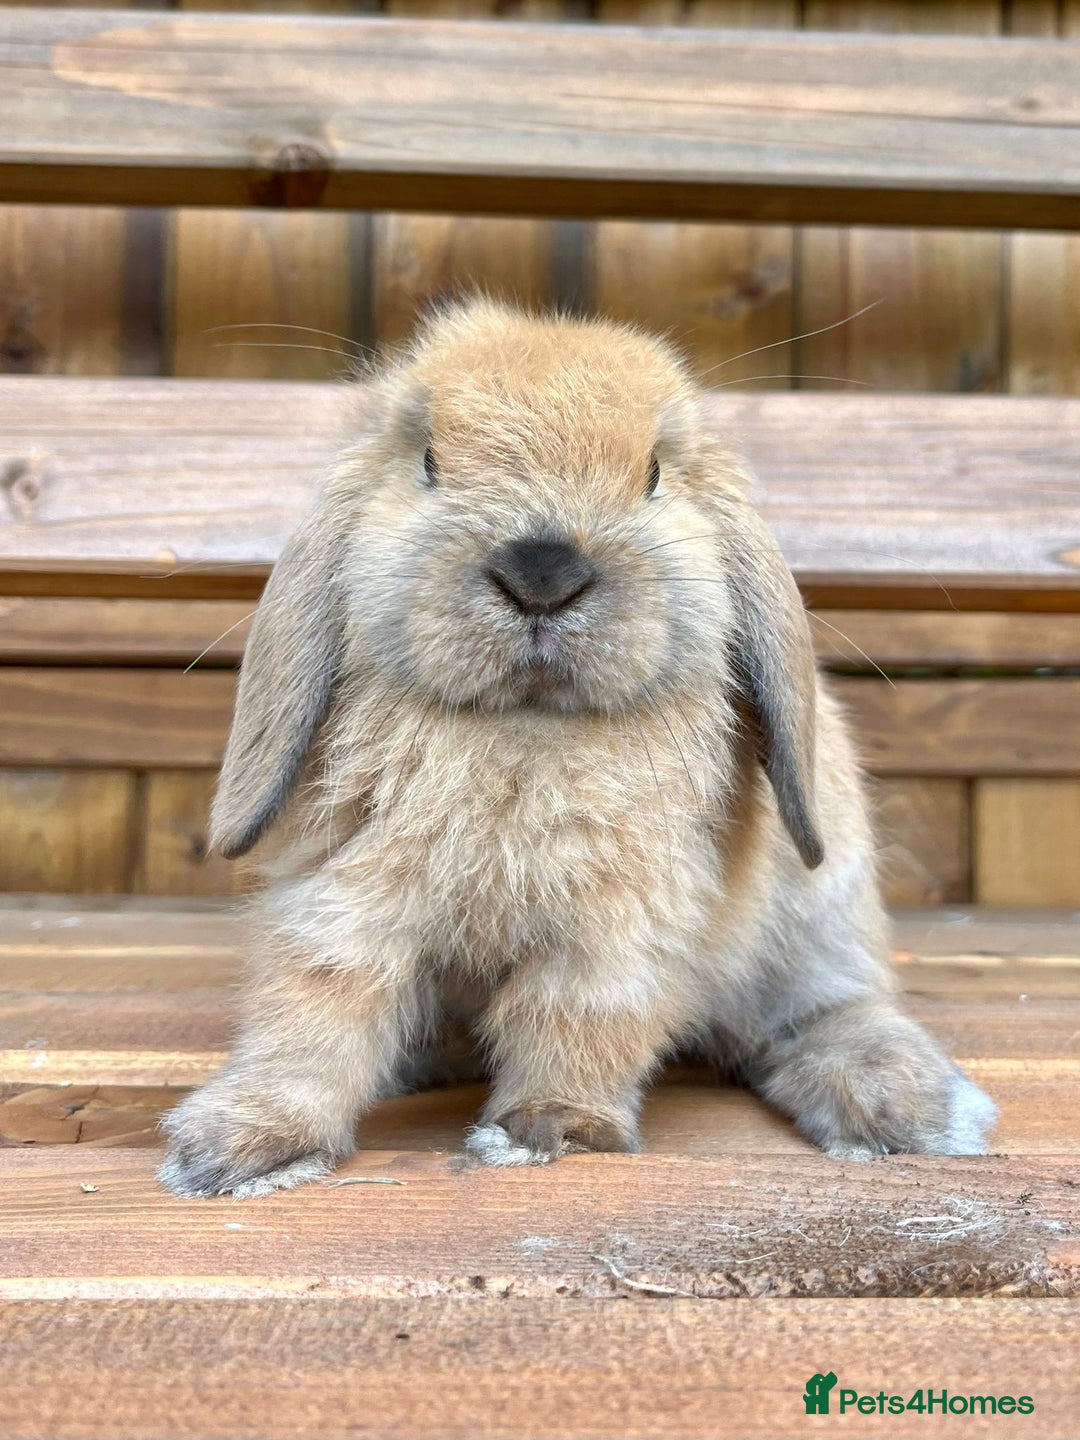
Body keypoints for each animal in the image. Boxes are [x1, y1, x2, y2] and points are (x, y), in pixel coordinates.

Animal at [159, 299, 996, 1198]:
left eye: (654, 474)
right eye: (428, 461)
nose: (543, 570)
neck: (526, 732)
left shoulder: (620, 930)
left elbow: (578, 1020)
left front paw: (550, 1131)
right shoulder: (348, 899)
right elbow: (317, 1009)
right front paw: (242, 1147)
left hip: (820, 912)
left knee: (823, 1015)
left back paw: (906, 1108)